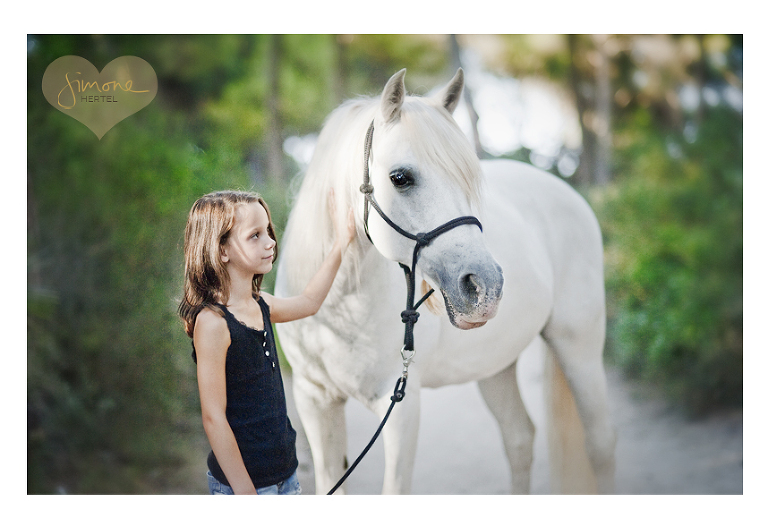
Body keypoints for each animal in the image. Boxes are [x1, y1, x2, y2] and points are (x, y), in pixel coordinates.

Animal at [272, 69, 616, 496]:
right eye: (400, 178)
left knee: (600, 444)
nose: (485, 286)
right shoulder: (314, 399)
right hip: (495, 364)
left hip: (579, 345)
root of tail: (568, 193)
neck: (338, 308)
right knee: (519, 438)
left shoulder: (400, 405)